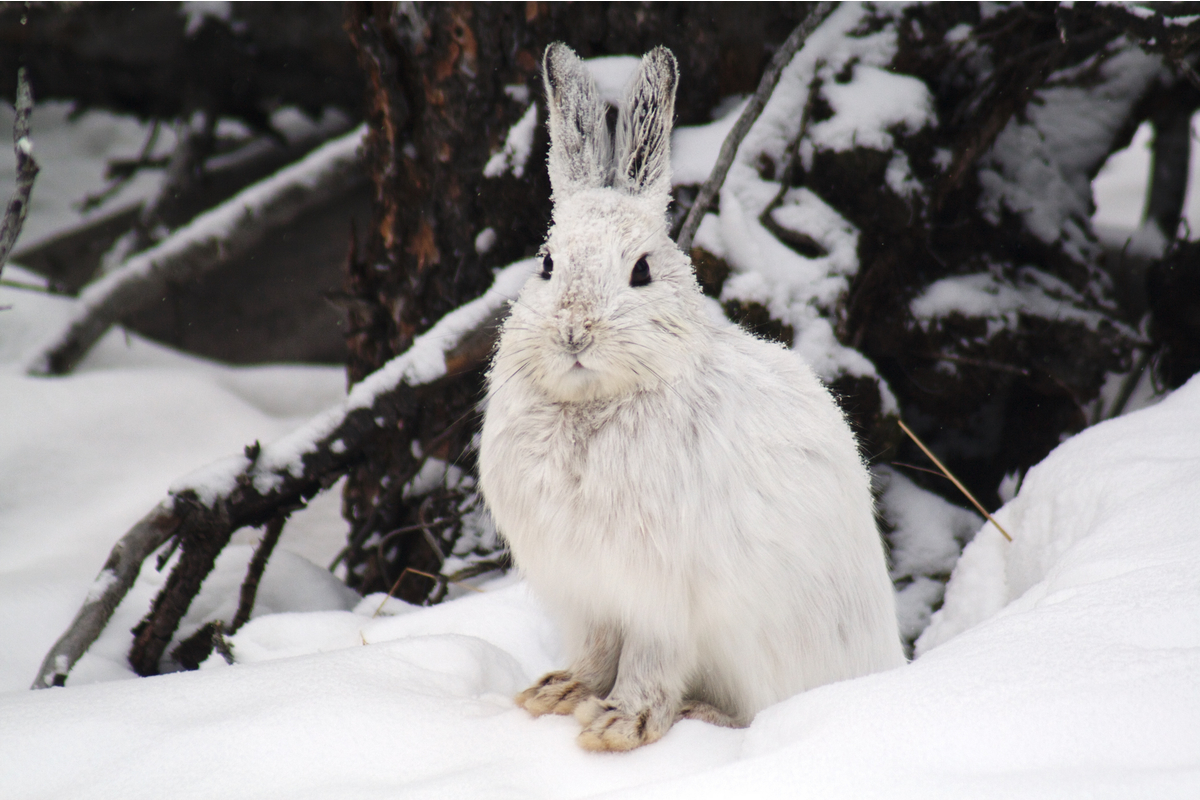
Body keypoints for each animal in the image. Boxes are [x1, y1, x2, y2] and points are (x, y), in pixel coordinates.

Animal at [478, 42, 905, 752]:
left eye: (642, 271)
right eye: (546, 264)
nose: (574, 331)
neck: (595, 405)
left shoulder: (660, 596)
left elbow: (650, 663)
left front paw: (618, 727)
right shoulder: (589, 593)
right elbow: (596, 651)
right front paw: (557, 694)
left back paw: (706, 714)